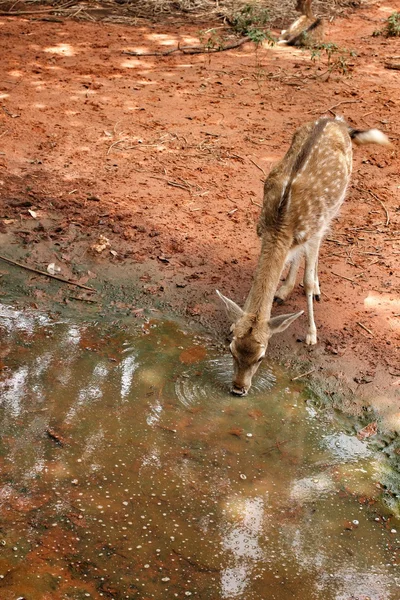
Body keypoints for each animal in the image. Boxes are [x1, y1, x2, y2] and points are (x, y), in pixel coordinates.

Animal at [217, 117, 390, 398]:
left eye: (261, 357)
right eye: (232, 350)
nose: (238, 389)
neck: (280, 223)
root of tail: (337, 120)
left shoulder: (313, 231)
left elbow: (307, 281)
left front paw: (311, 333)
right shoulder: (266, 231)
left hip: (335, 206)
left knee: (320, 246)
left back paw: (315, 289)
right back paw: (284, 290)